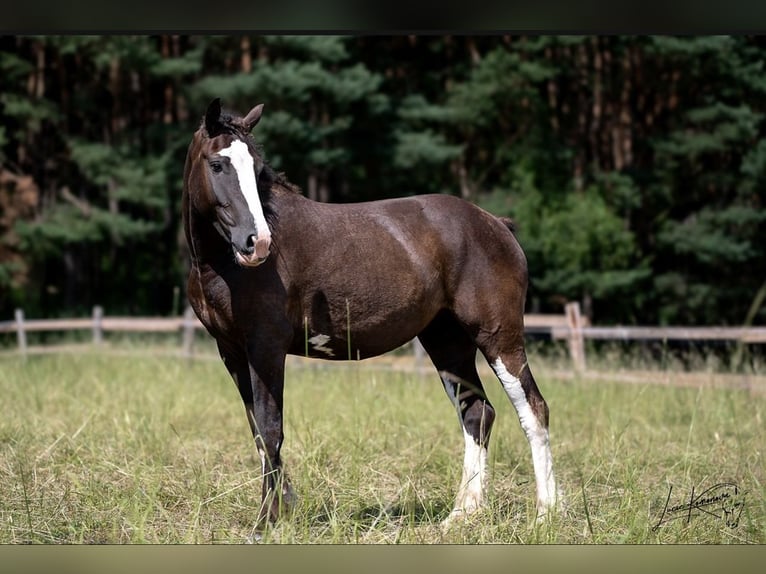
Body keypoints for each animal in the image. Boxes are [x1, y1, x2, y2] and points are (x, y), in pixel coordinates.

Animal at [183, 99, 560, 532]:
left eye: (257, 168)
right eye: (217, 164)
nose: (257, 242)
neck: (223, 266)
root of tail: (496, 224)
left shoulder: (266, 349)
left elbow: (271, 427)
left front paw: (267, 522)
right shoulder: (231, 351)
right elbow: (258, 432)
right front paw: (282, 509)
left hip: (499, 337)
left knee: (533, 409)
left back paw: (548, 512)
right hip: (447, 342)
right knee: (477, 414)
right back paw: (463, 513)